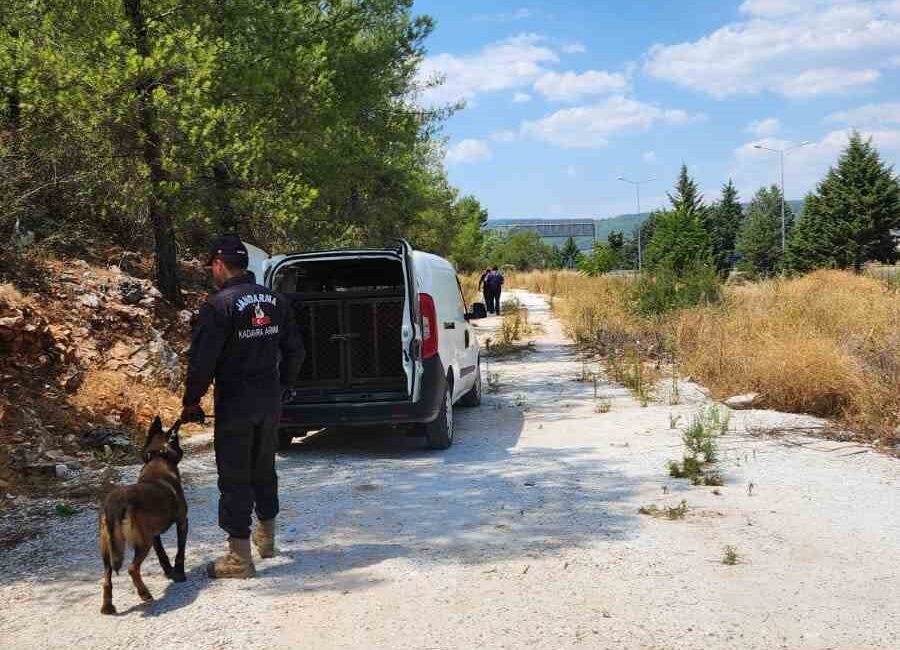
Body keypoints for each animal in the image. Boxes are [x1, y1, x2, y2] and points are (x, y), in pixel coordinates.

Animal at [98, 416, 188, 612]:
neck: (158, 458)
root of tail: (116, 502)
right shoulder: (183, 522)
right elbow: (180, 551)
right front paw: (179, 574)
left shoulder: (154, 535)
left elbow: (162, 554)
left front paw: (169, 572)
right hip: (142, 543)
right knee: (132, 568)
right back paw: (144, 594)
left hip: (108, 549)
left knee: (107, 577)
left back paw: (108, 606)